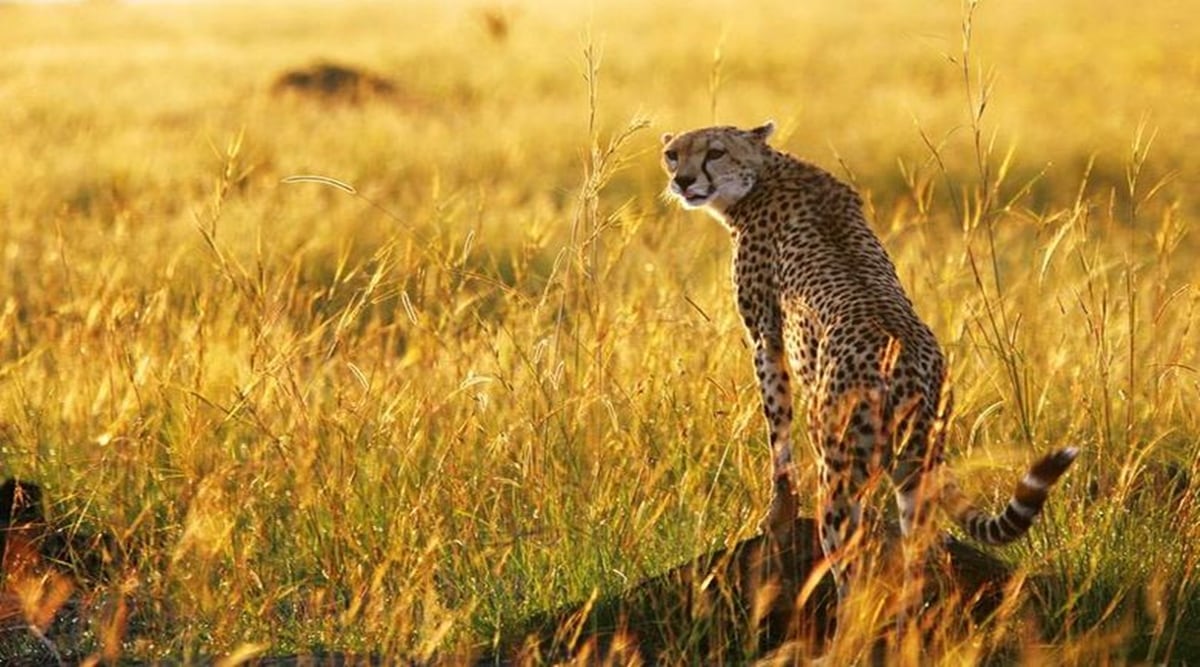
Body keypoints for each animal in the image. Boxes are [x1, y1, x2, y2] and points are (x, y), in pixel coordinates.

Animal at [660, 121, 1078, 610]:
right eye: (672, 154)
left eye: (715, 152)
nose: (683, 180)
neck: (764, 174)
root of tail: (912, 374)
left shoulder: (766, 339)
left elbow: (778, 435)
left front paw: (778, 514)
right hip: (914, 476)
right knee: (919, 560)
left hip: (840, 475)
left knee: (850, 570)